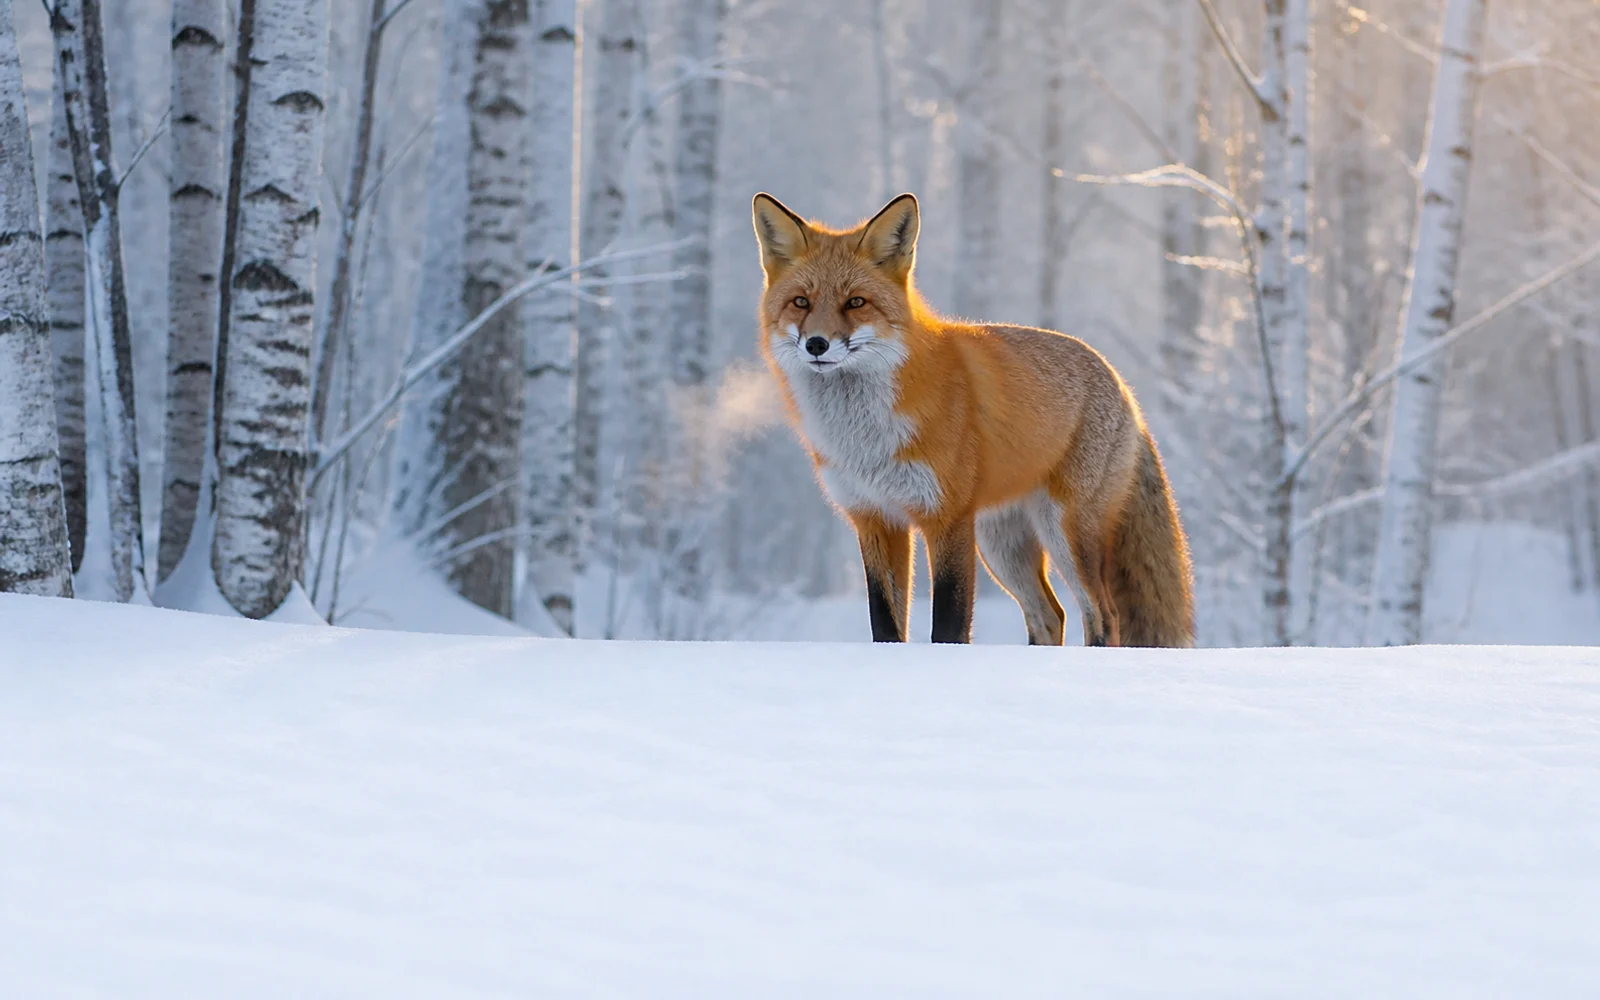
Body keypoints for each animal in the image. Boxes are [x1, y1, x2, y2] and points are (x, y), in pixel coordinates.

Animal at [752, 192, 1195, 647]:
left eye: (855, 302)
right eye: (801, 302)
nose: (816, 344)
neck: (863, 439)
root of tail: (1122, 383)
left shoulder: (947, 517)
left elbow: (949, 622)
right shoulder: (874, 518)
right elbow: (885, 623)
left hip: (1066, 532)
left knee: (1103, 614)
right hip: (1002, 545)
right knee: (1049, 615)